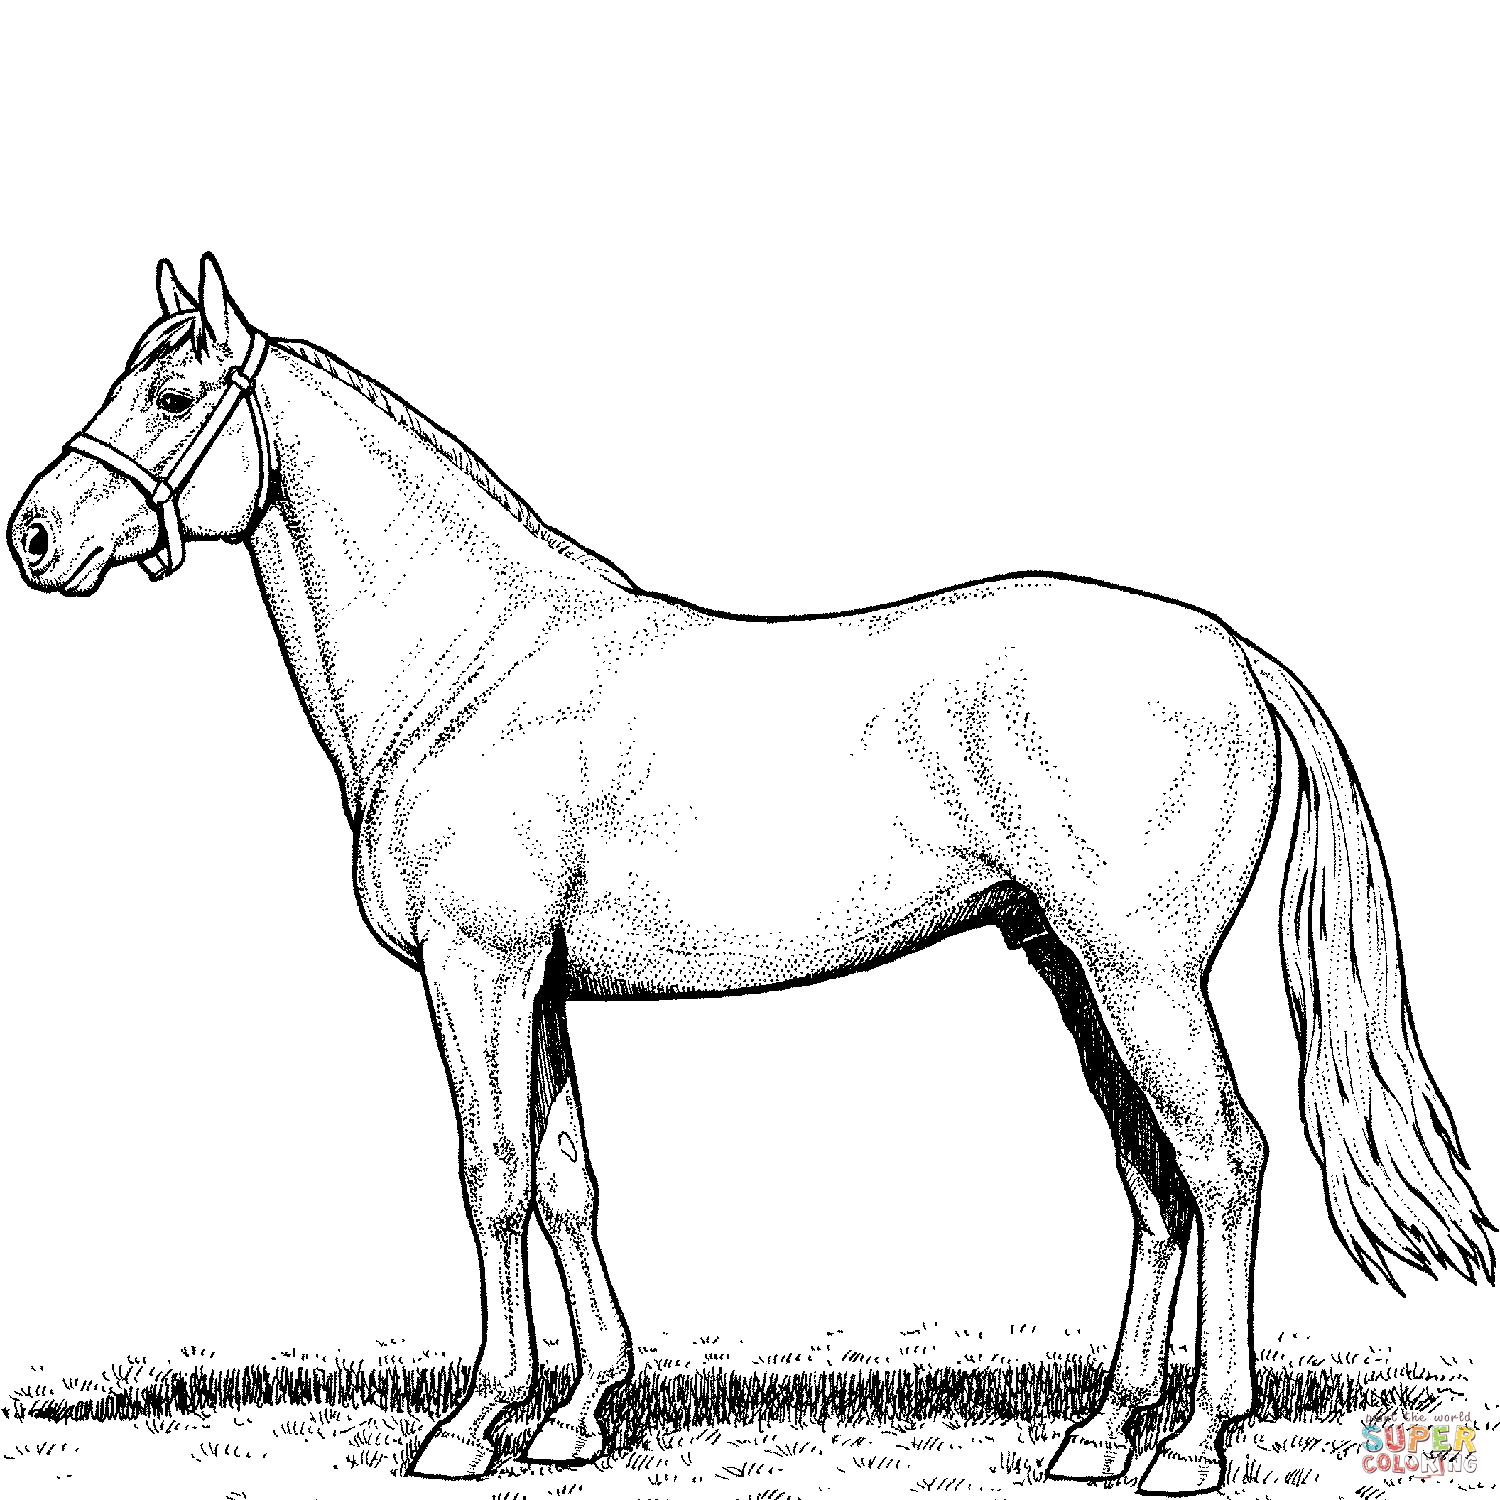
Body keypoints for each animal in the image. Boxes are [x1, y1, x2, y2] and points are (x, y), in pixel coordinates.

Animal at [9, 254, 1492, 1494]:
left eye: (175, 392)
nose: (35, 536)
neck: (473, 666)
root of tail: (1231, 653)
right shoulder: (541, 987)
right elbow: (567, 1180)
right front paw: (578, 1414)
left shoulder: (477, 969)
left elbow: (491, 1173)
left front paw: (473, 1423)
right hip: (1079, 974)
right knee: (1154, 1179)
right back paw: (1101, 1428)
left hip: (1144, 974)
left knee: (1225, 1161)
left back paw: (1192, 1443)